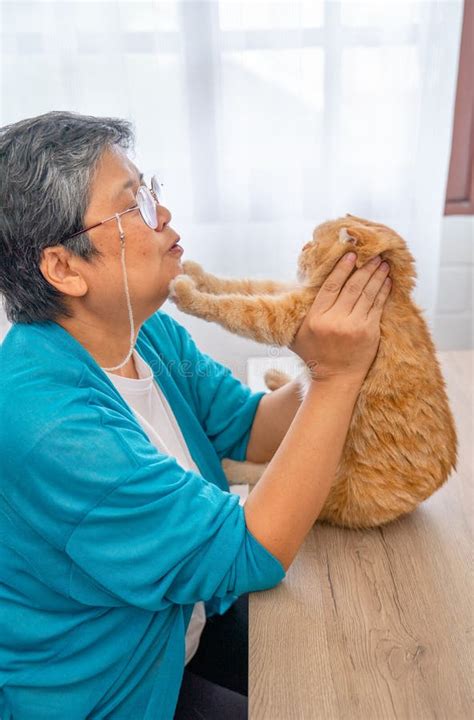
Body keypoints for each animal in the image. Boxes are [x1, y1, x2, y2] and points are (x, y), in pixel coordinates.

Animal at [168, 214, 458, 528]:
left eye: (315, 243)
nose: (303, 247)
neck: (391, 293)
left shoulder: (280, 315)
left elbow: (234, 306)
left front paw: (187, 293)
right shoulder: (288, 292)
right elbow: (243, 285)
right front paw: (197, 273)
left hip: (329, 490)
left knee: (264, 472)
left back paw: (230, 465)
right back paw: (278, 380)